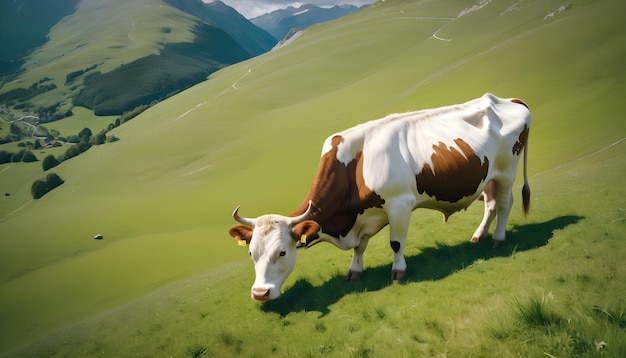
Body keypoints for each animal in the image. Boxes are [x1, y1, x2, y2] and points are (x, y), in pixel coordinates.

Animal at [227, 92, 528, 300]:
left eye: (282, 252)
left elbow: (396, 243)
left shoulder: (399, 203)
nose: (260, 293)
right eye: (252, 253)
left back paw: (498, 239)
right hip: (486, 177)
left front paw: (398, 271)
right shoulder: (362, 219)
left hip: (507, 171)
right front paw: (355, 271)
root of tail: (507, 99)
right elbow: (360, 248)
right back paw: (479, 235)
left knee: (504, 205)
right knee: (491, 204)